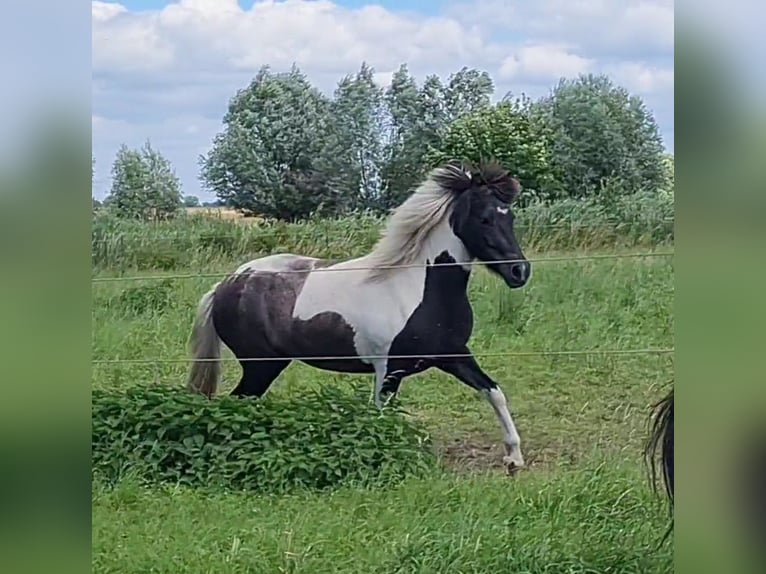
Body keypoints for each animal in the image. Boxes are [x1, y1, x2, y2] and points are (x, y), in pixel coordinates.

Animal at [186, 161, 536, 472]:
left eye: (510, 217)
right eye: (485, 218)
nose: (519, 272)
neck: (418, 289)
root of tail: (225, 284)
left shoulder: (454, 355)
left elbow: (494, 392)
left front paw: (514, 458)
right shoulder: (389, 370)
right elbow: (381, 417)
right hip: (260, 366)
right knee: (235, 403)